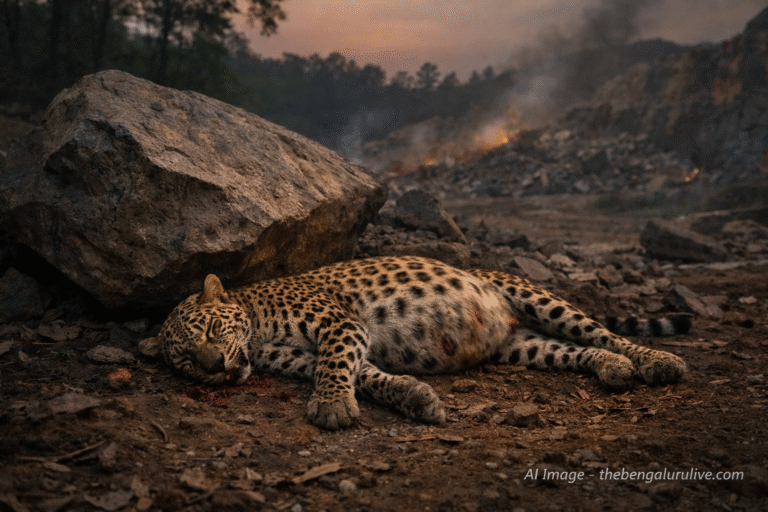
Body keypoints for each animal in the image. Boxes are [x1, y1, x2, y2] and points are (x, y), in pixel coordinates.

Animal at [140, 255, 690, 430]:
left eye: (211, 332)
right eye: (185, 361)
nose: (216, 367)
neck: (255, 331)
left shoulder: (339, 326)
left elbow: (336, 367)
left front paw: (332, 407)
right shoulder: (306, 355)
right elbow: (364, 375)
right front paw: (415, 397)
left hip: (540, 300)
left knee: (604, 331)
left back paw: (657, 361)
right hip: (526, 347)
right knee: (578, 350)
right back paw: (612, 368)